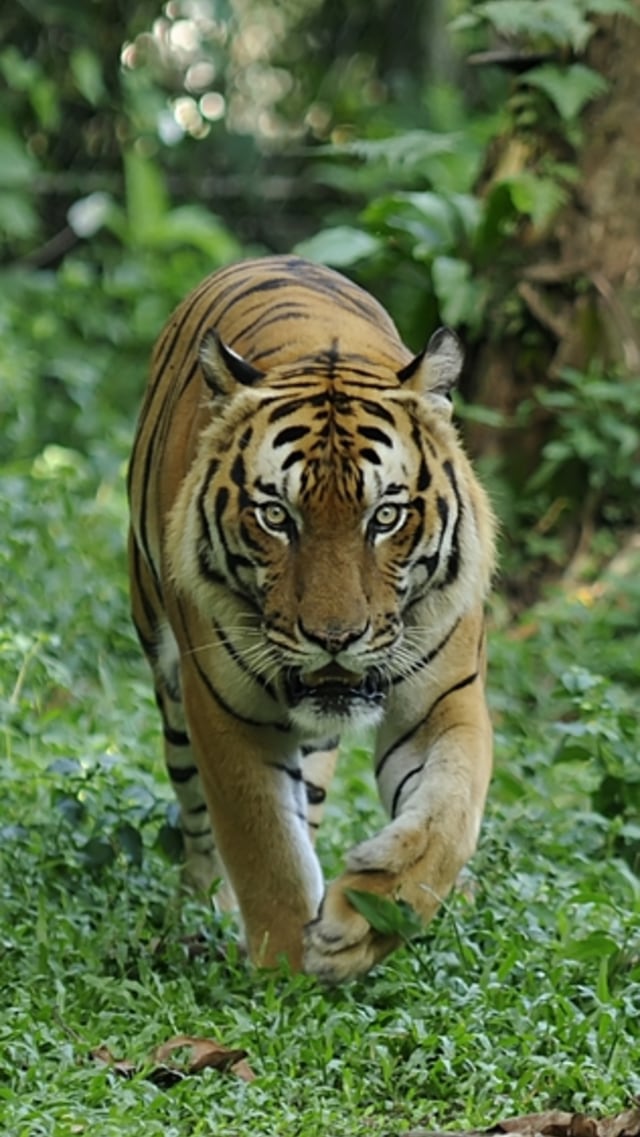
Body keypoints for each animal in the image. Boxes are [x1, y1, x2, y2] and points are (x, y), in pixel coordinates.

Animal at [125, 253, 495, 982]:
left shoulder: (447, 698)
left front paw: (369, 915)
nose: (334, 639)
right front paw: (289, 969)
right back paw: (202, 907)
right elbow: (264, 845)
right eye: (277, 516)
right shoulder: (225, 709)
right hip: (169, 683)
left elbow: (447, 814)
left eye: (386, 516)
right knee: (198, 818)